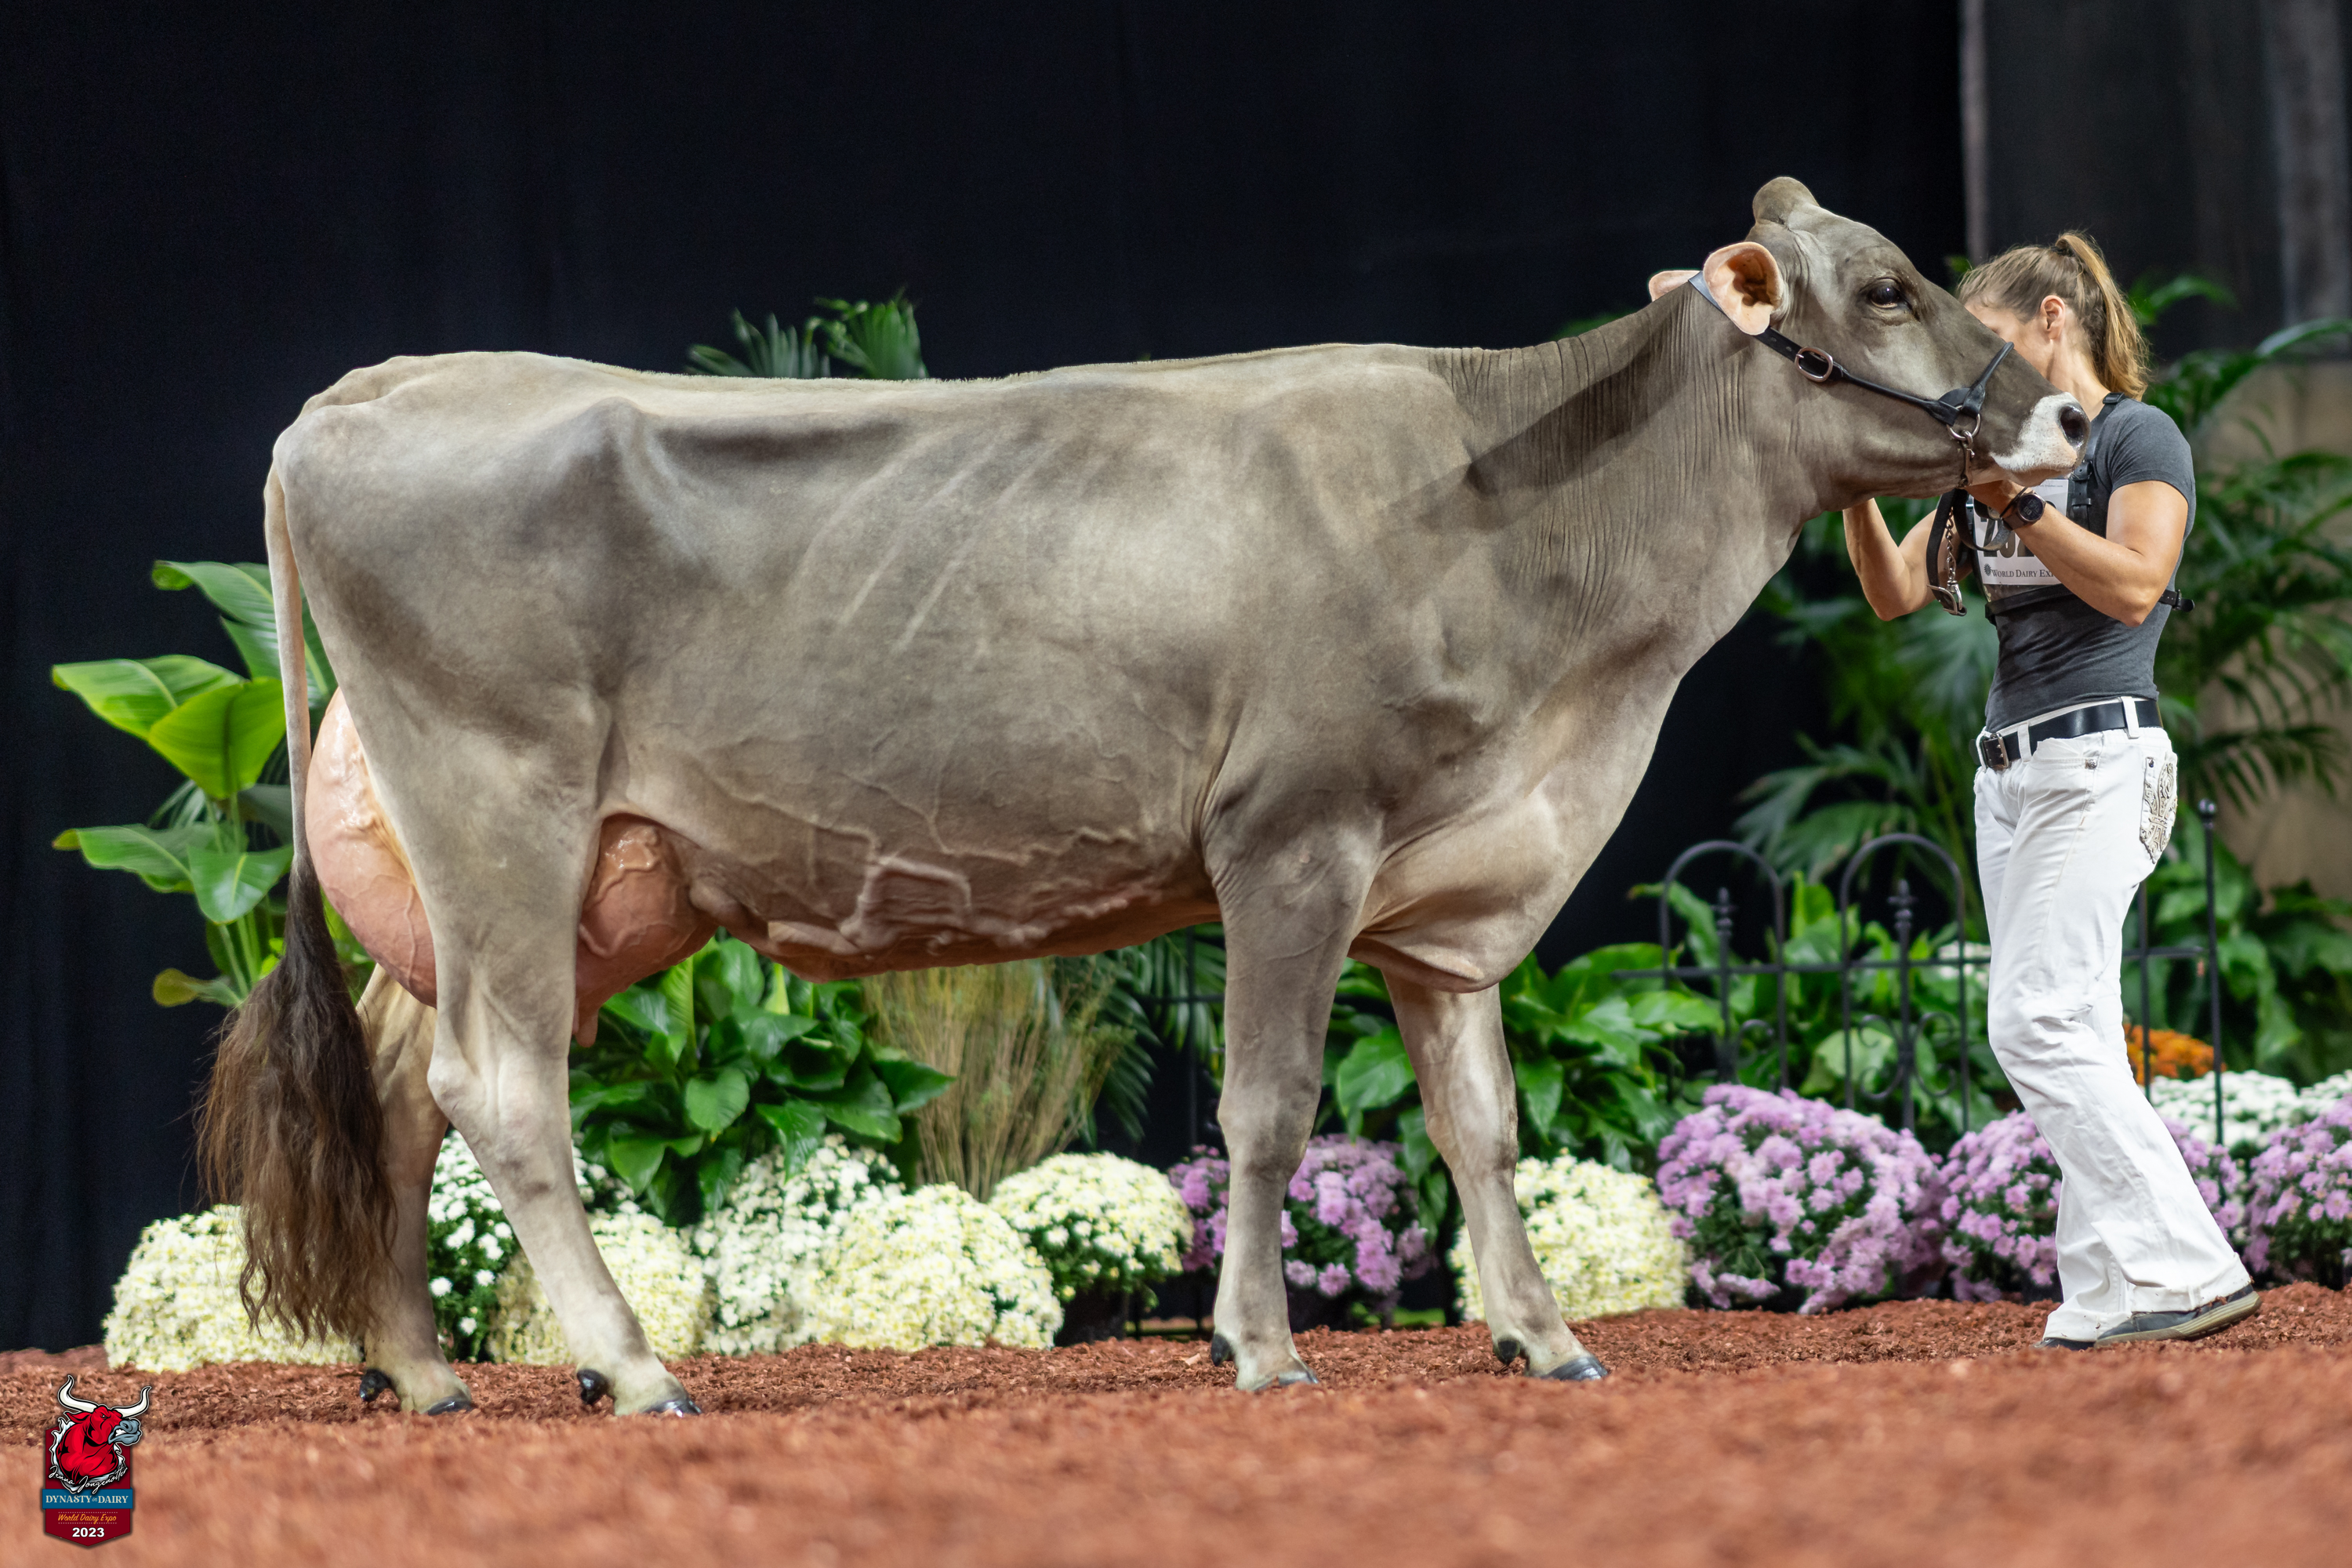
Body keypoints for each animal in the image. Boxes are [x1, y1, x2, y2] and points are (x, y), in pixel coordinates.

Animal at [200, 178, 2083, 1415]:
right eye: (1889, 288)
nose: (2069, 414)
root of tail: (368, 391)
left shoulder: (1451, 892)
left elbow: (1483, 1124)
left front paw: (1542, 1337)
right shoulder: (1292, 840)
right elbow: (1266, 1111)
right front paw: (1259, 1345)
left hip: (553, 877)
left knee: (398, 1086)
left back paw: (417, 1371)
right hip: (503, 812)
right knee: (500, 1089)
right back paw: (627, 1364)